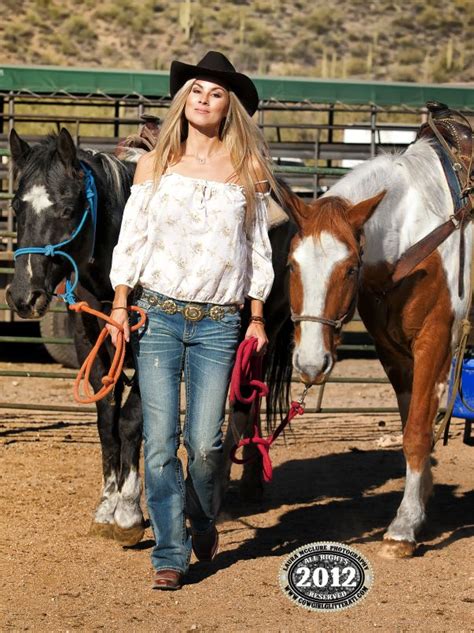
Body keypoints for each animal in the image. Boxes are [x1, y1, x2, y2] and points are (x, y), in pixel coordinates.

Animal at [286, 136, 472, 556]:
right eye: (290, 265)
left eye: (350, 269)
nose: (309, 364)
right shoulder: (392, 353)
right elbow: (410, 426)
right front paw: (420, 501)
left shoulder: (434, 343)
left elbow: (417, 432)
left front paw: (403, 527)